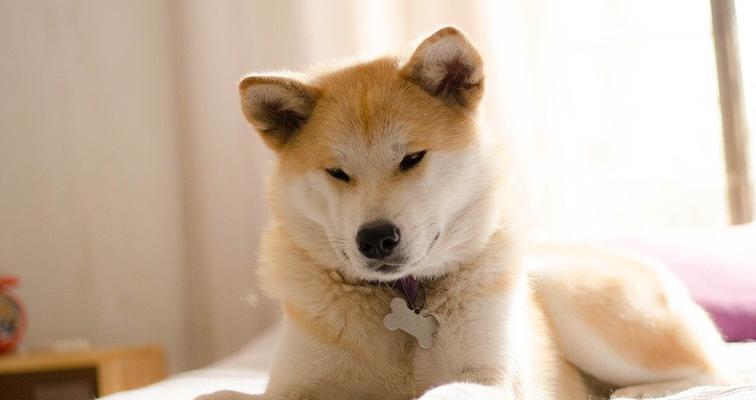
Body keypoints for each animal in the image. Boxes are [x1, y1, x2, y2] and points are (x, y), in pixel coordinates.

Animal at [198, 26, 728, 398]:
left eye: (412, 158)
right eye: (337, 173)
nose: (375, 238)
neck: (404, 299)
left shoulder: (490, 378)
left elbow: (445, 391)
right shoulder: (294, 387)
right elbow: (218, 393)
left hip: (576, 301)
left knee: (713, 370)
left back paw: (635, 391)